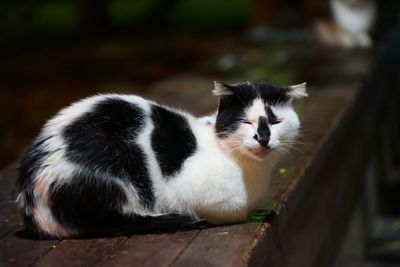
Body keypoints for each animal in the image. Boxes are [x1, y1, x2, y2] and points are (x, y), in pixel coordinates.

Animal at [15, 80, 308, 239]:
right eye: (246, 122)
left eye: (275, 121)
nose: (263, 138)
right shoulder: (197, 193)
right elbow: (227, 211)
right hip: (113, 161)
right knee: (111, 220)